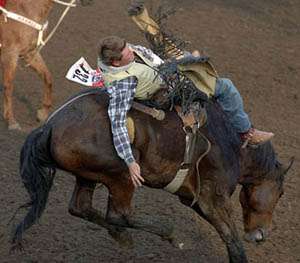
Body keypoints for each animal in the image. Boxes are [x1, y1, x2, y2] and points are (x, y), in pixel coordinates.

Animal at [0, 0, 92, 131]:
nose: (89, 2)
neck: (25, 9)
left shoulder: (30, 53)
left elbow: (47, 78)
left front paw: (43, 113)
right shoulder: (10, 54)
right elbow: (8, 87)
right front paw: (11, 121)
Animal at [12, 87, 292, 262]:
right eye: (280, 193)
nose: (261, 235)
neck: (232, 142)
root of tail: (49, 126)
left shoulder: (193, 199)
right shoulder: (213, 198)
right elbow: (231, 238)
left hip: (88, 175)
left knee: (81, 208)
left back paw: (122, 236)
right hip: (122, 175)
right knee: (118, 215)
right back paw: (170, 235)